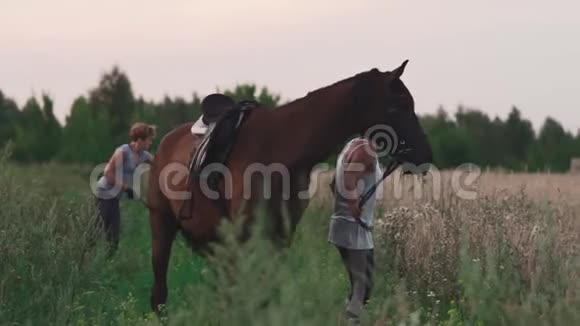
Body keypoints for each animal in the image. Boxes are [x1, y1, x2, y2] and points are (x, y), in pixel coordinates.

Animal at [147, 59, 432, 312]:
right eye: (397, 106)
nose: (424, 155)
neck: (281, 148)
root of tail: (167, 141)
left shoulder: (280, 237)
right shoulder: (245, 238)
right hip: (162, 224)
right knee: (160, 292)